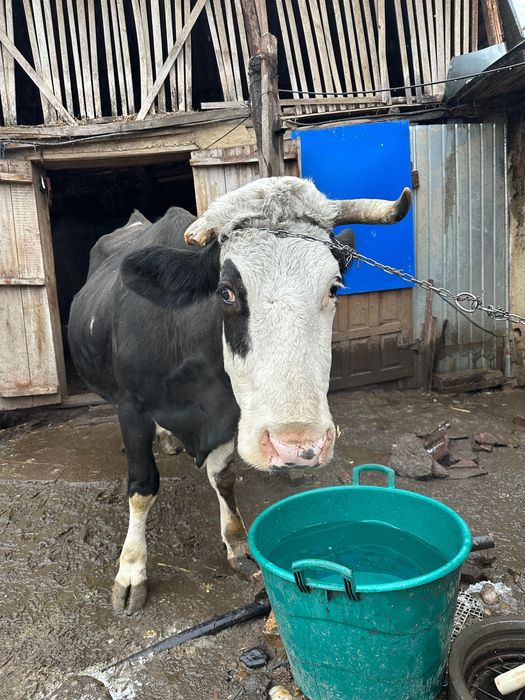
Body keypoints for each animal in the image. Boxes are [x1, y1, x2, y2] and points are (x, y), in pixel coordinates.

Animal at [68, 176, 411, 614]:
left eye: (334, 288)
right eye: (226, 292)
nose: (298, 446)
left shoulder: (230, 414)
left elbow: (224, 477)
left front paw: (236, 544)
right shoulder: (132, 406)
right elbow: (142, 487)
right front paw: (131, 571)